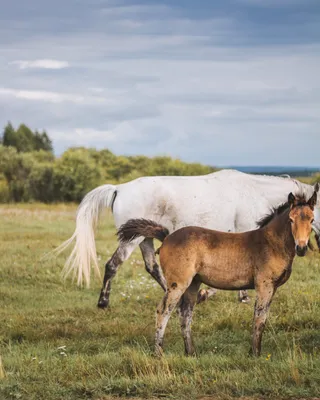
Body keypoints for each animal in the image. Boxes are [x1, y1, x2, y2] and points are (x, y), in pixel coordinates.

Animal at [57, 168, 320, 306]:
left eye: (310, 217)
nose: (303, 246)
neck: (255, 192)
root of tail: (118, 188)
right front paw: (238, 296)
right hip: (131, 240)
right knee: (113, 264)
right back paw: (103, 302)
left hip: (144, 238)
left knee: (152, 267)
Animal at [117, 188, 318, 356]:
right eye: (291, 219)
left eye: (312, 220)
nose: (301, 248)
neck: (271, 244)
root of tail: (166, 237)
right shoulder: (264, 285)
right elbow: (259, 318)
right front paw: (255, 354)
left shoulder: (272, 288)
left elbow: (263, 317)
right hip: (177, 284)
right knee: (163, 310)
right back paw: (158, 353)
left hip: (193, 284)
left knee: (185, 314)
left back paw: (191, 352)